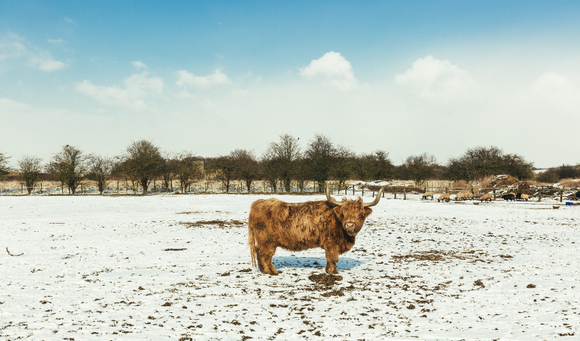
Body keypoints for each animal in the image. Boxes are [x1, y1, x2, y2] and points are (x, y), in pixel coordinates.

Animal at [248, 183, 388, 274]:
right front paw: (332, 272)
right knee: (265, 255)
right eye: (343, 214)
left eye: (360, 215)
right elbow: (332, 257)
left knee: (259, 252)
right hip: (268, 241)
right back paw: (272, 271)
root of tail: (256, 204)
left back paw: (264, 271)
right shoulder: (331, 243)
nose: (350, 225)